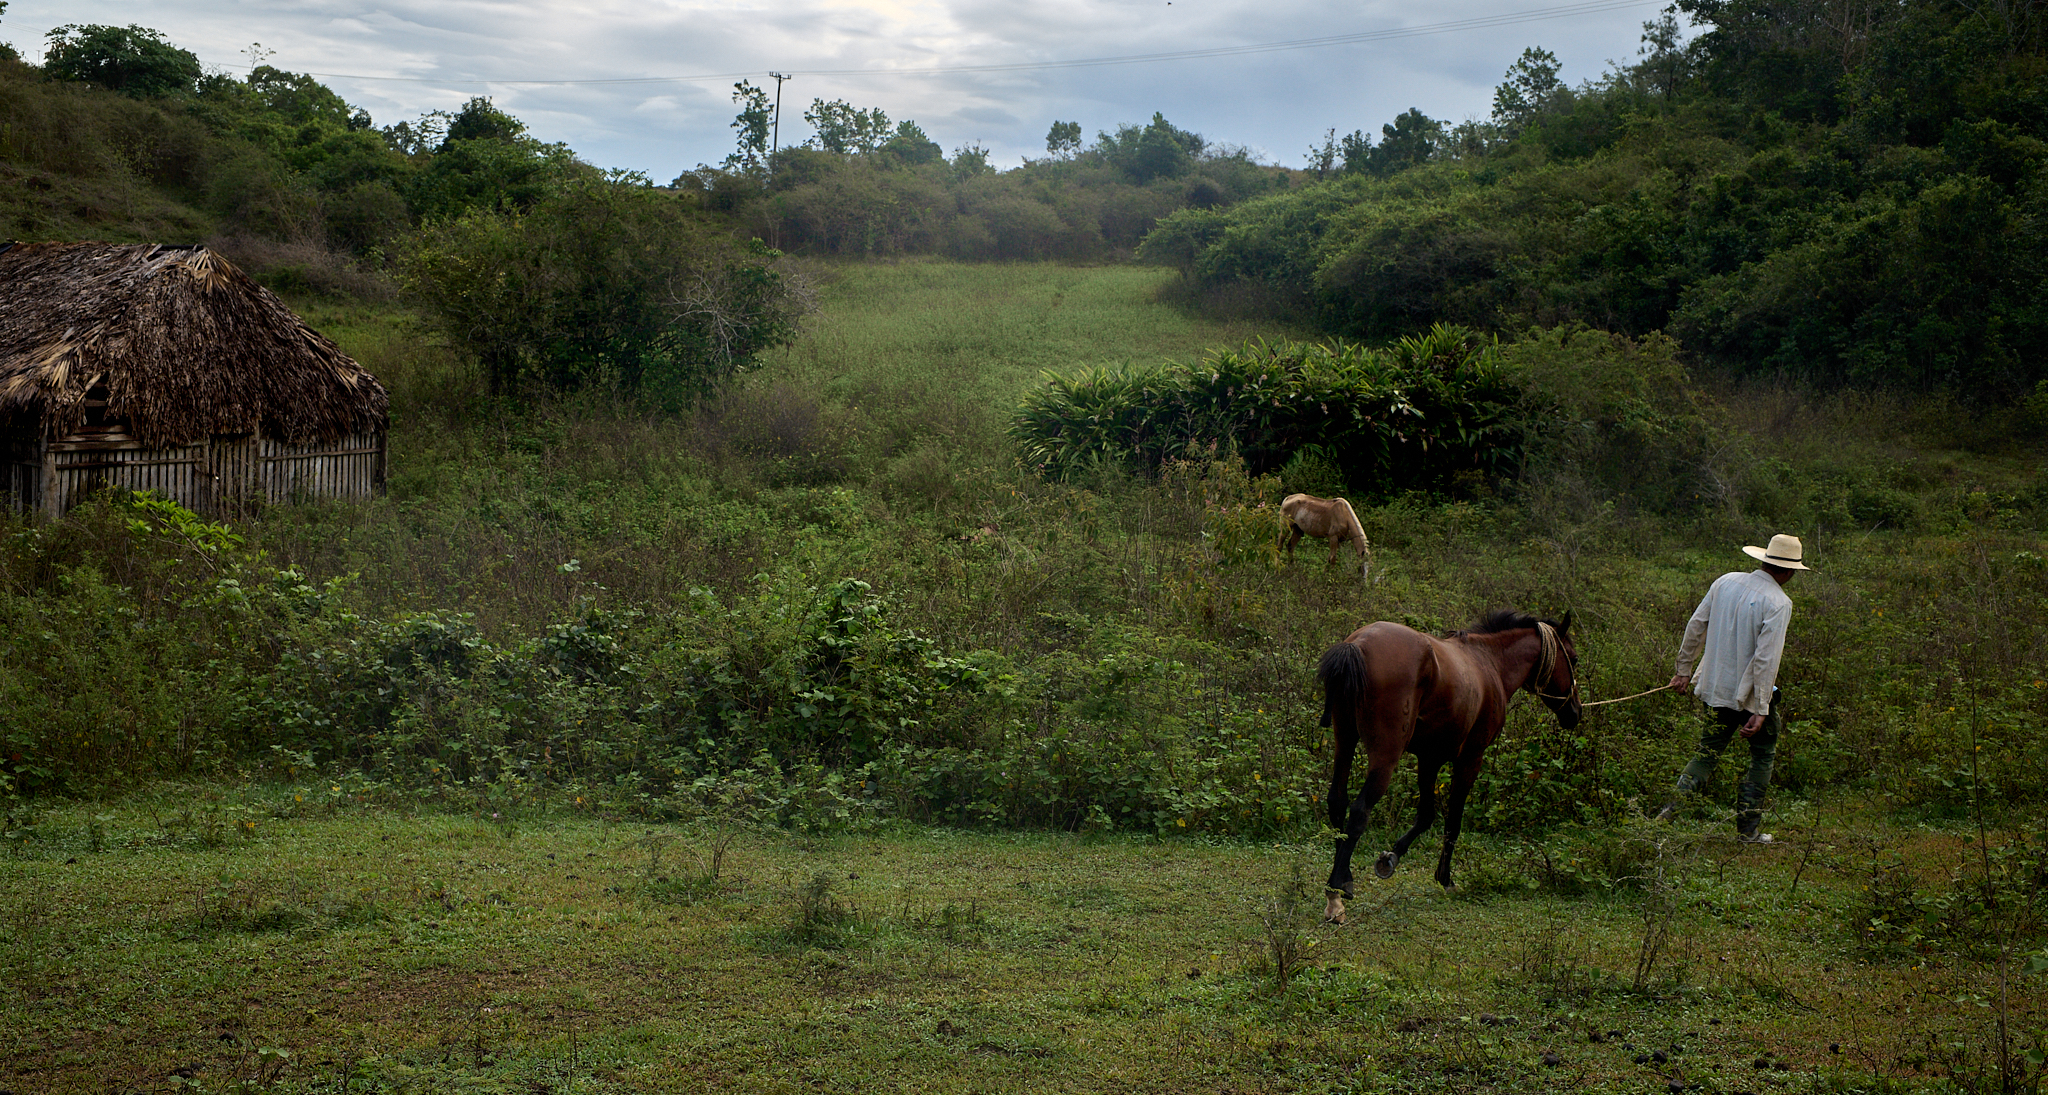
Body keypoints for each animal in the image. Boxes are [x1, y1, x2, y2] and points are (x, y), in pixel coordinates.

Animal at [1318, 609, 1582, 922]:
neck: (1489, 662)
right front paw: (1445, 878)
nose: (1576, 712)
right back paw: (1336, 893)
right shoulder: (1470, 759)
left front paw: (1392, 856)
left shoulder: (1429, 758)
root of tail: (1358, 644)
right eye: (1574, 659)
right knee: (1359, 811)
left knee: (1337, 802)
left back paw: (1342, 879)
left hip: (1345, 740)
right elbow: (1453, 820)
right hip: (1385, 754)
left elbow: (1426, 816)